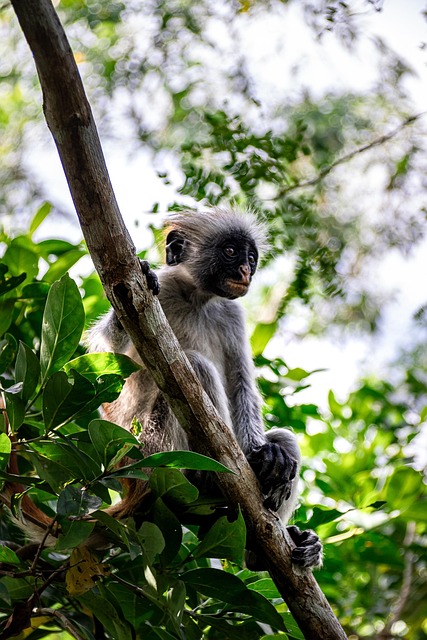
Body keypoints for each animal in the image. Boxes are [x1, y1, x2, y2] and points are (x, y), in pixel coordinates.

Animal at [87, 207, 323, 570]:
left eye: (251, 257)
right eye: (230, 251)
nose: (245, 271)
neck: (196, 297)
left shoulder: (232, 312)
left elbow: (241, 384)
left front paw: (265, 456)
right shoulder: (165, 290)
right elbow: (104, 355)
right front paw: (142, 276)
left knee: (284, 438)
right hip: (147, 449)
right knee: (195, 366)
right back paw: (212, 478)